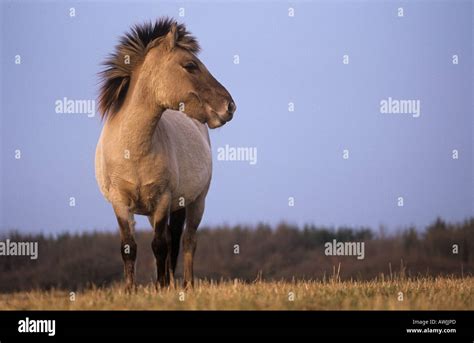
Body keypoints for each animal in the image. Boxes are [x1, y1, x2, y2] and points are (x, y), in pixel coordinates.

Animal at [95, 18, 236, 292]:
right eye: (190, 65)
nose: (230, 106)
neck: (133, 151)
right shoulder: (120, 203)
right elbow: (129, 247)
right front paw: (131, 290)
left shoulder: (162, 200)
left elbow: (160, 246)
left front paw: (161, 288)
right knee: (173, 241)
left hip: (196, 202)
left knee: (188, 241)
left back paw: (187, 285)